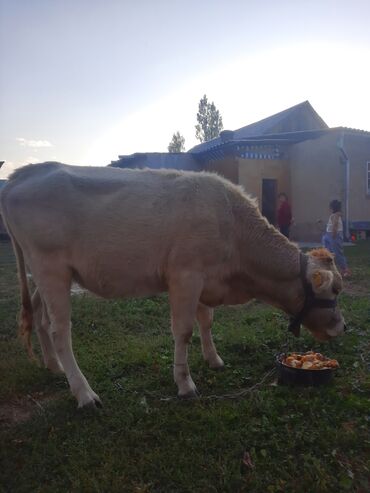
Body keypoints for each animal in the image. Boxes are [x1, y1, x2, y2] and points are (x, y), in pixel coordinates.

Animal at [0, 161, 346, 408]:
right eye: (334, 290)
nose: (342, 326)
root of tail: (25, 173)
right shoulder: (185, 275)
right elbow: (184, 330)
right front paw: (185, 384)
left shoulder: (206, 279)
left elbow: (206, 321)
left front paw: (214, 359)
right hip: (50, 268)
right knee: (60, 331)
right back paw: (85, 394)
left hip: (44, 272)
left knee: (40, 318)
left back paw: (54, 367)